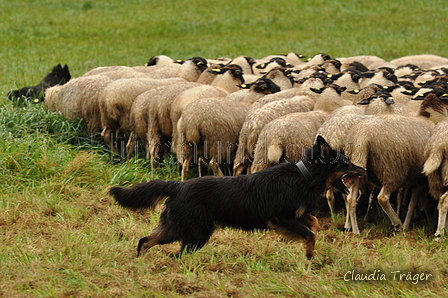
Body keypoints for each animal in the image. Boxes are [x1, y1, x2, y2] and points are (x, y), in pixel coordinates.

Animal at [110, 136, 366, 260]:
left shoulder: (294, 216)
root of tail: (179, 186)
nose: (364, 169)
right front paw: (309, 254)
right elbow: (310, 234)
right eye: (347, 163)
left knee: (145, 240)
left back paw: (142, 262)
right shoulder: (280, 219)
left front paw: (309, 247)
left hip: (177, 227)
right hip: (195, 233)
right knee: (176, 253)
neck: (303, 177)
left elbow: (312, 222)